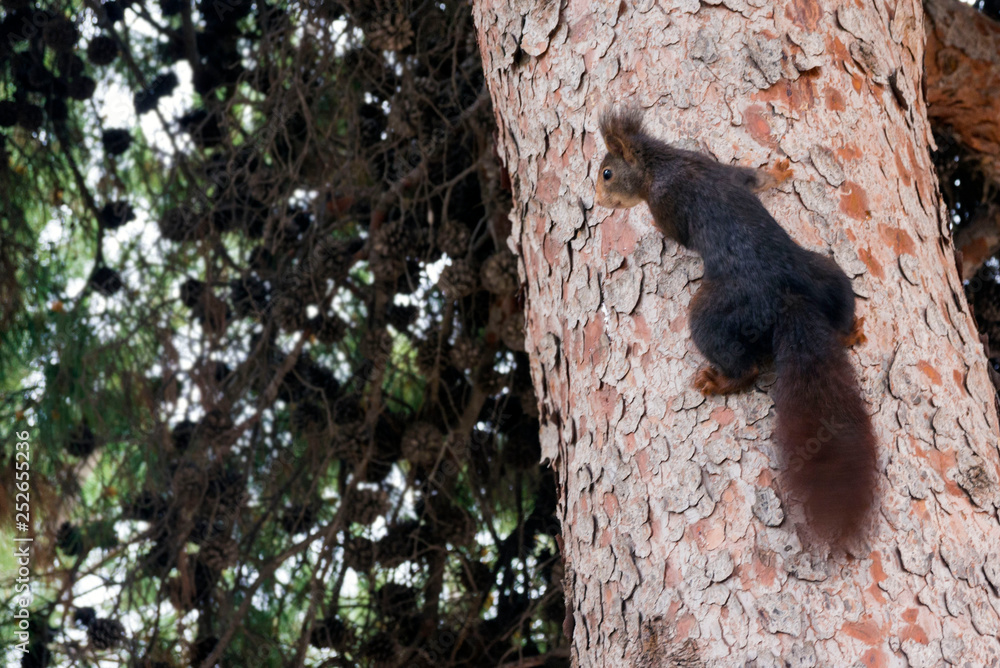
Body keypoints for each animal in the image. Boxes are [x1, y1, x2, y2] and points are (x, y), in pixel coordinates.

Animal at [595, 108, 877, 545]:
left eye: (607, 173)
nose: (596, 199)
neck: (663, 162)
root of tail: (787, 300)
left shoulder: (665, 203)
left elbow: (674, 232)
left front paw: (656, 232)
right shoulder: (725, 170)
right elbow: (754, 178)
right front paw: (778, 171)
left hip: (714, 316)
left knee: (746, 367)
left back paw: (719, 380)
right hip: (827, 273)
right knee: (841, 298)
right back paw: (851, 330)